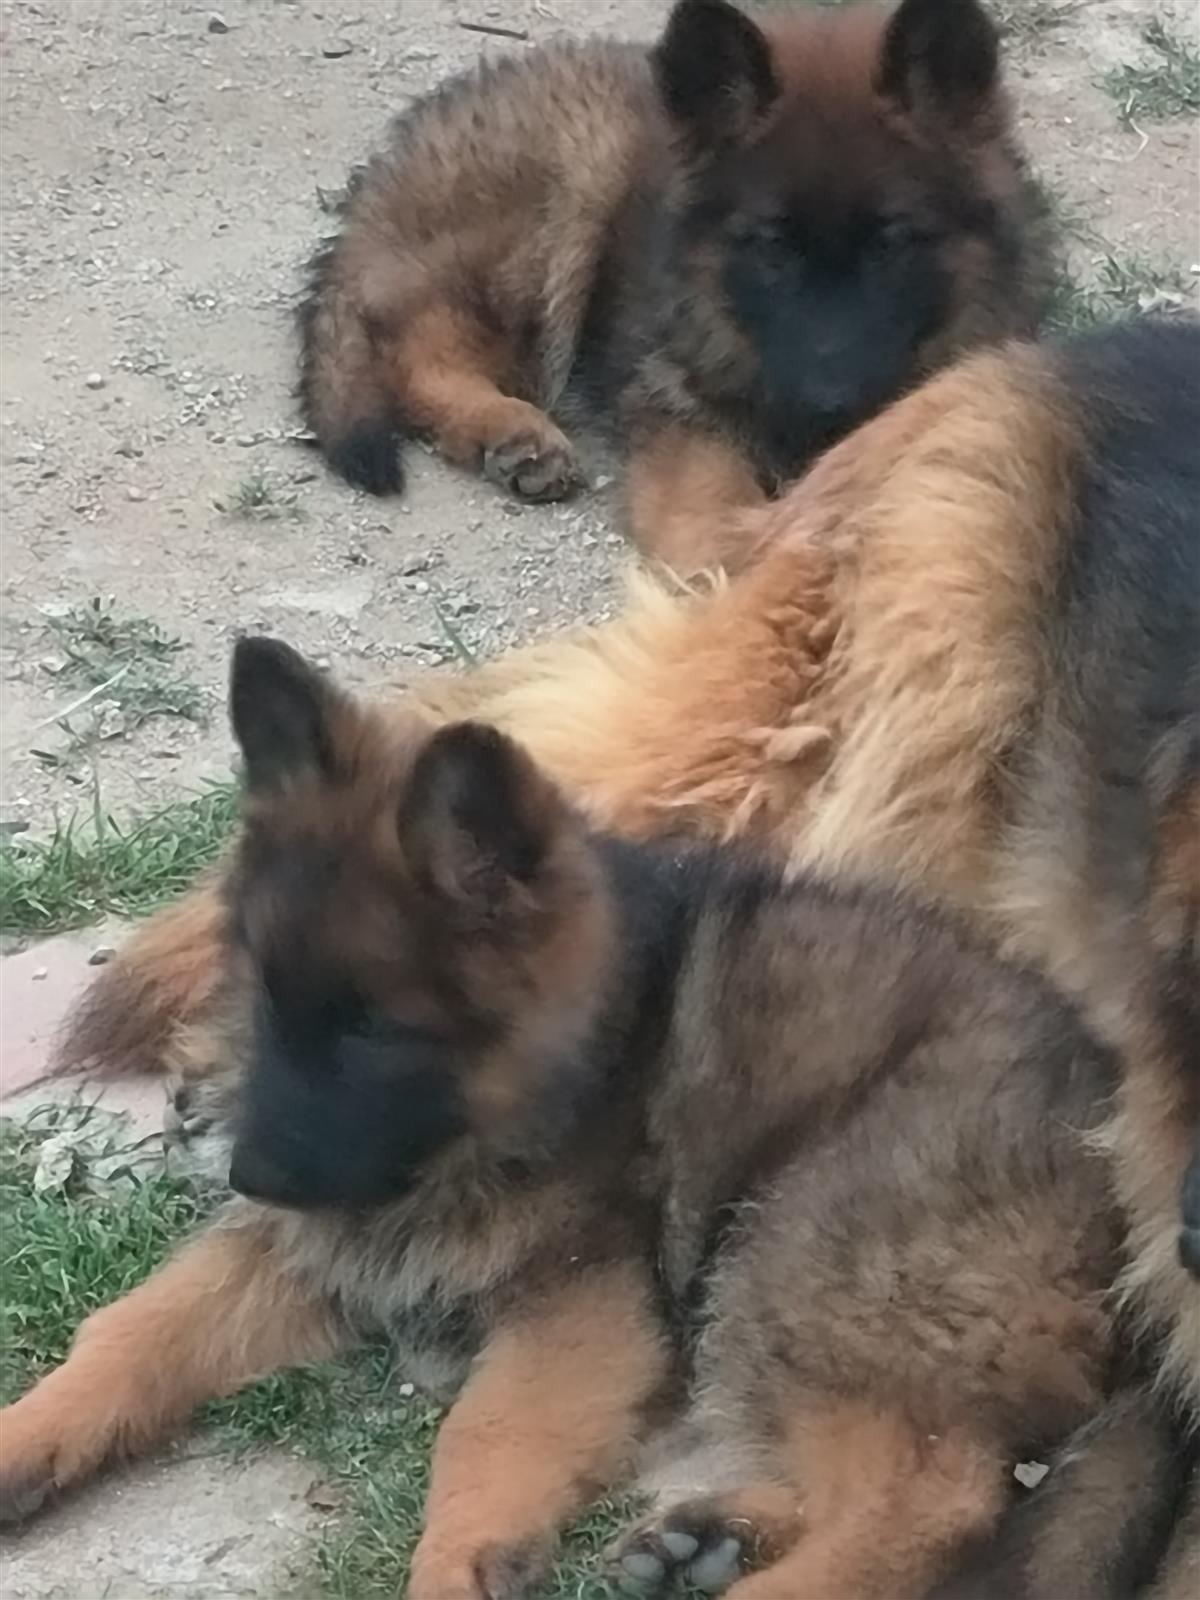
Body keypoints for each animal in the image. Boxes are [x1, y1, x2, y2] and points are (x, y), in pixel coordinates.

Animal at [1, 638, 1137, 1600]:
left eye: (376, 1034)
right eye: (267, 998)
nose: (246, 1174)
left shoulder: (578, 1300)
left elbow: (483, 1435)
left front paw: (453, 1570)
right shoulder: (329, 1241)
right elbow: (139, 1327)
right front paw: (24, 1435)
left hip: (808, 1246)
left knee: (937, 1494)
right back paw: (707, 1540)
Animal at [299, 0, 1052, 570]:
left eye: (891, 245)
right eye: (771, 247)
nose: (829, 404)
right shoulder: (678, 416)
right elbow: (727, 521)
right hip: (572, 184)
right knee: (418, 348)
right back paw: (509, 429)